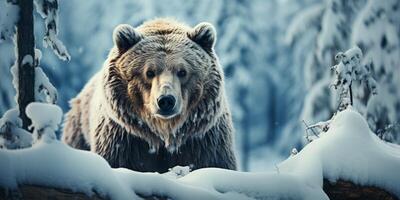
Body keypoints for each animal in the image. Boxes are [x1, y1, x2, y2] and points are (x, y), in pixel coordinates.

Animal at [62, 18, 238, 172]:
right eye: (149, 72)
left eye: (182, 71)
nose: (166, 100)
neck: (163, 134)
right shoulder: (123, 140)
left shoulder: (202, 141)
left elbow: (212, 162)